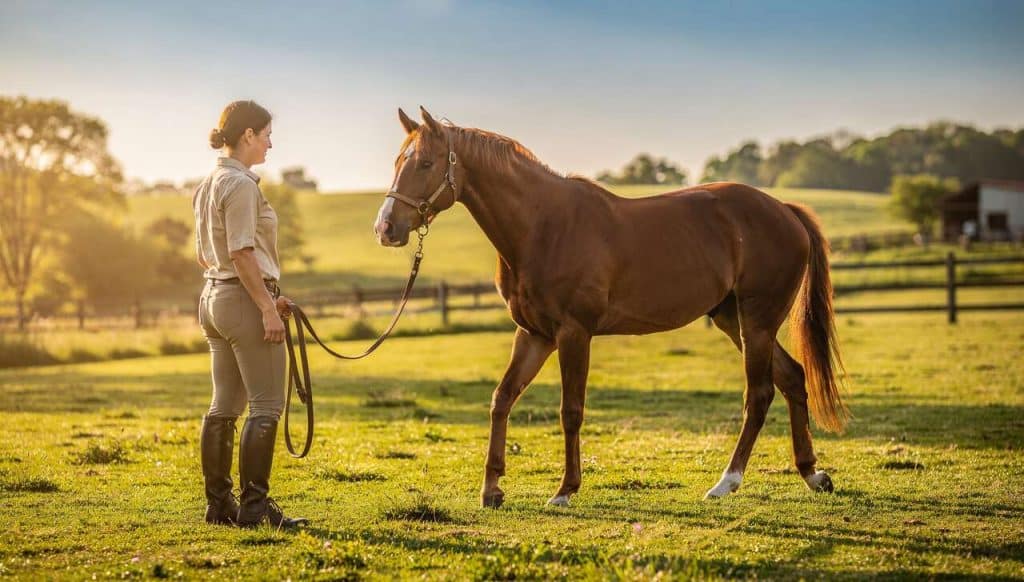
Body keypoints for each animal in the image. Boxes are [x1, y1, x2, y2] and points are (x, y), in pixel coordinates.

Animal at [374, 107, 848, 507]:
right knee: (792, 378)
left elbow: (570, 410)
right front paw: (491, 490)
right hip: (734, 320)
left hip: (757, 322)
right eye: (397, 162)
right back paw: (811, 474)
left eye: (425, 163)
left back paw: (726, 482)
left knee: (760, 393)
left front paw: (565, 490)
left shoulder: (573, 333)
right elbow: (501, 399)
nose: (386, 228)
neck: (543, 226)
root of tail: (784, 210)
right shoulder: (534, 335)